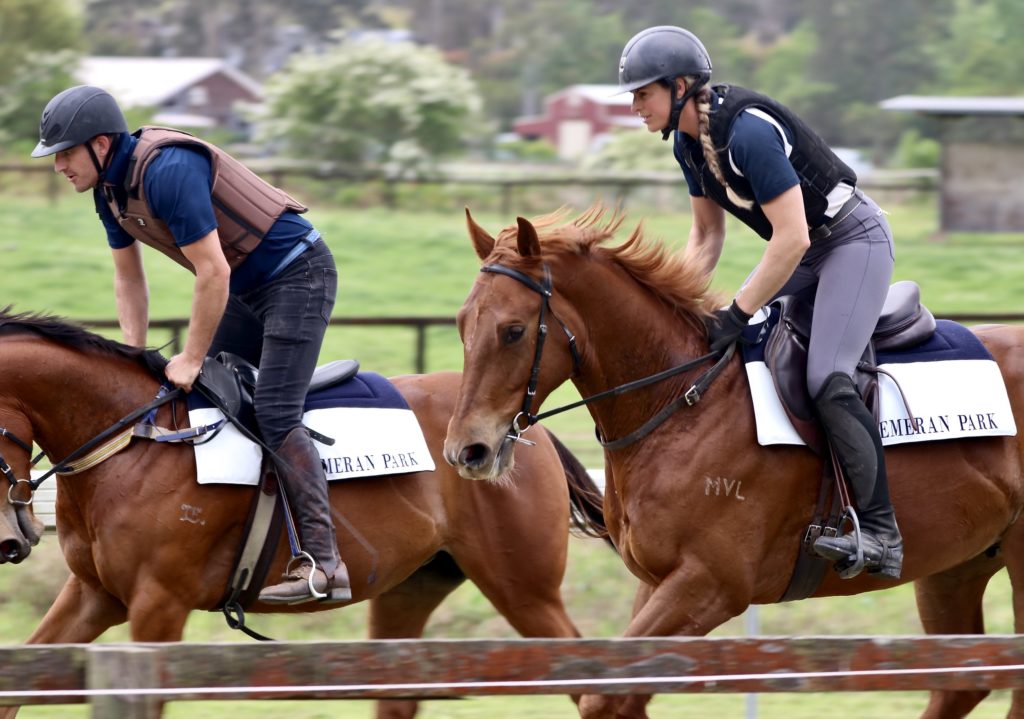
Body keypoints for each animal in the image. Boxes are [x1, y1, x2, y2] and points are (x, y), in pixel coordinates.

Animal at [0, 307, 608, 719]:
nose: (14, 537)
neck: (137, 438)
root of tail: (519, 426)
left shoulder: (158, 603)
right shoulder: (96, 594)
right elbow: (21, 678)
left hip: (523, 587)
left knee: (587, 682)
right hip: (414, 587)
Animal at [443, 206, 1024, 719]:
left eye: (514, 331)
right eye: (462, 325)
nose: (466, 452)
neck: (680, 399)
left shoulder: (709, 585)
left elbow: (603, 697)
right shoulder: (658, 581)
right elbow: (618, 698)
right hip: (957, 565)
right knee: (963, 685)